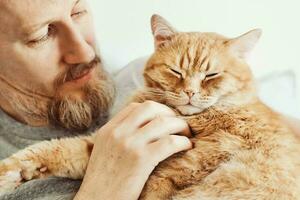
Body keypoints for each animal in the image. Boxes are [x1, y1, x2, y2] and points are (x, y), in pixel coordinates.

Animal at [0, 14, 300, 199]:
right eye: (176, 71)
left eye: (211, 75)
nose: (190, 92)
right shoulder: (98, 145)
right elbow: (56, 149)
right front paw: (10, 173)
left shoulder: (172, 174)